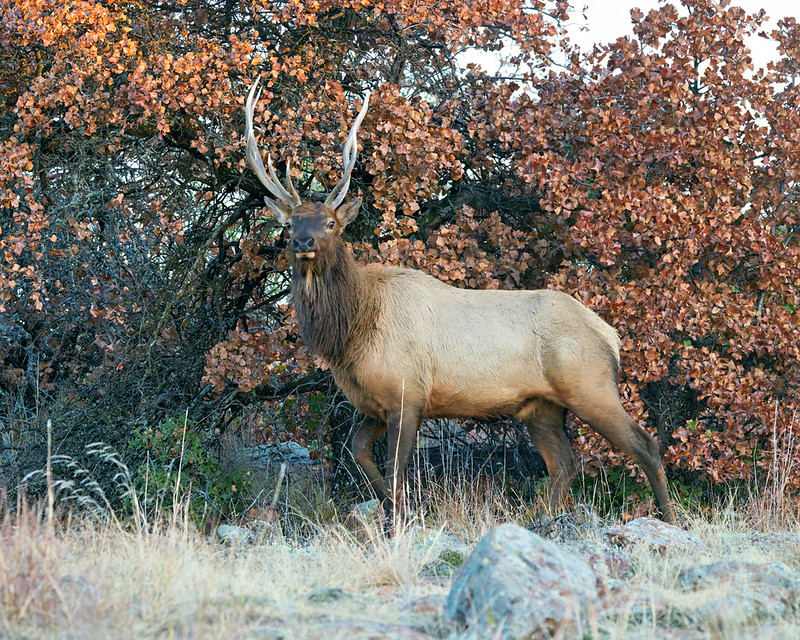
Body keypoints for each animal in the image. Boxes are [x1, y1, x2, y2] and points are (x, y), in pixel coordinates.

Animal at [244, 78, 678, 526]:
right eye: (289, 223)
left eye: (330, 222)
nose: (303, 241)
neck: (351, 331)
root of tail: (611, 336)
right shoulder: (373, 405)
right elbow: (359, 453)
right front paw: (394, 510)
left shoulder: (407, 395)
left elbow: (396, 471)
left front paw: (401, 519)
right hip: (541, 407)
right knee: (564, 464)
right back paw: (538, 519)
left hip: (590, 385)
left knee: (645, 444)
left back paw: (669, 518)